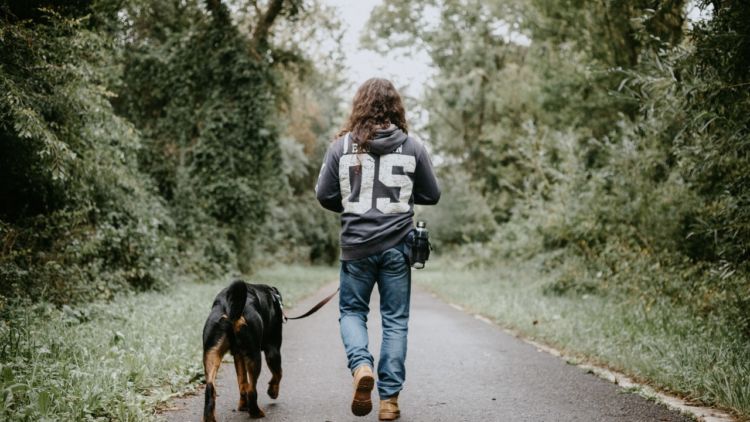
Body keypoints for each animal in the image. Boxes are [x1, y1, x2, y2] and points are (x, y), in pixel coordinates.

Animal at [203, 280, 284, 422]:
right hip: (254, 356)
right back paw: (256, 412)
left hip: (211, 354)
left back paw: (209, 417)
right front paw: (273, 391)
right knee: (252, 389)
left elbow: (242, 382)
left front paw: (243, 405)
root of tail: (227, 304)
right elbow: (278, 373)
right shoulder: (273, 349)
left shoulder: (238, 355)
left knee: (210, 388)